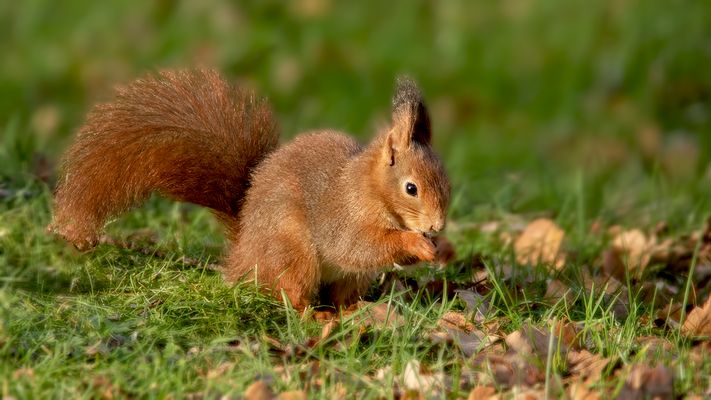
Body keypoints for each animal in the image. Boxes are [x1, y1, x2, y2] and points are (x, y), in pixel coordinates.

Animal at [48, 68, 451, 310]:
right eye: (411, 188)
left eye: (446, 180)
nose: (436, 226)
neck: (371, 189)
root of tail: (244, 253)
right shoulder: (343, 216)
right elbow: (358, 246)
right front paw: (415, 243)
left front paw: (443, 248)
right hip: (291, 250)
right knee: (288, 293)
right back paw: (316, 317)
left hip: (344, 276)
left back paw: (351, 310)